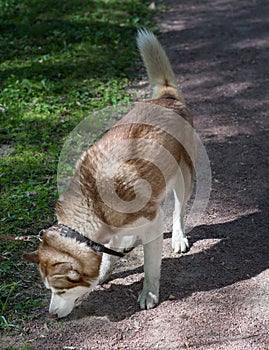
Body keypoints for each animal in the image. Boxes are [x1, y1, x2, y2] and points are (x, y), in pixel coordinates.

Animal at [23, 29, 195, 320]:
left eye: (61, 290)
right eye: (48, 289)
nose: (52, 315)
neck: (92, 201)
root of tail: (167, 98)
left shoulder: (151, 221)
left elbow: (150, 267)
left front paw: (149, 293)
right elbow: (107, 252)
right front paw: (105, 269)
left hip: (184, 178)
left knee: (178, 209)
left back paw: (178, 236)